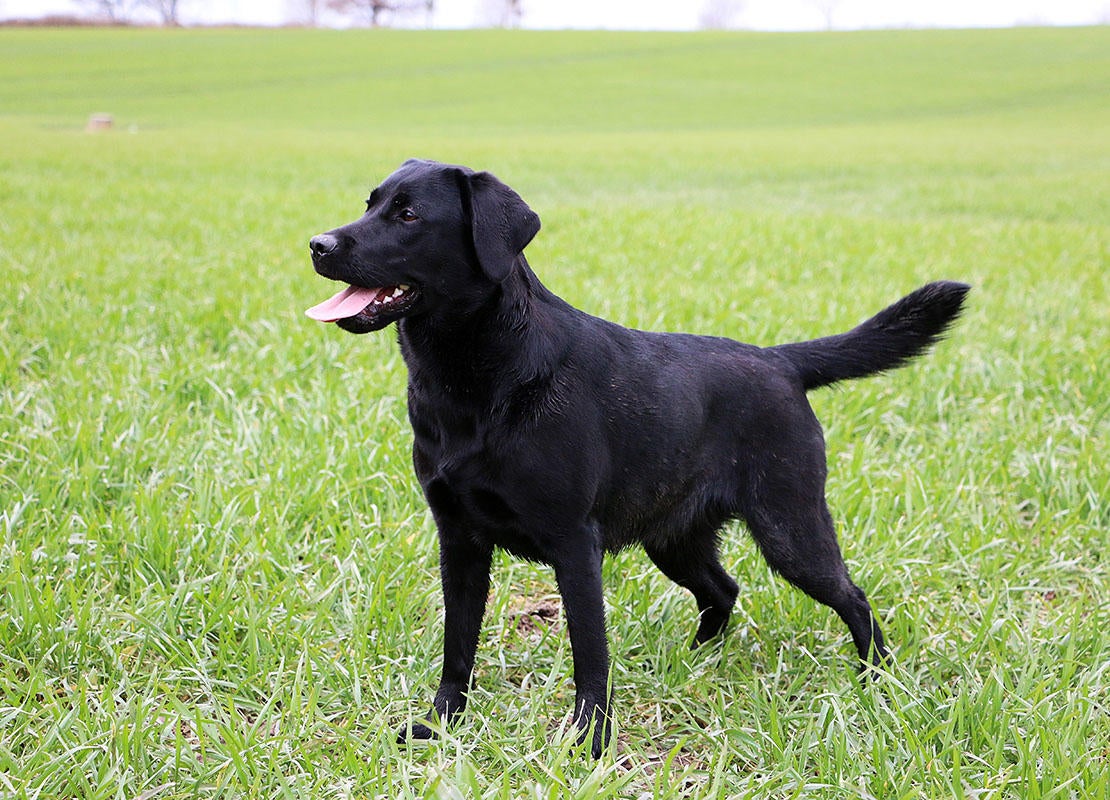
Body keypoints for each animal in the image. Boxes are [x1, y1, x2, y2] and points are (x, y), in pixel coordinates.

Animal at [306, 157, 972, 754]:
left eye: (408, 214)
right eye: (370, 204)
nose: (317, 243)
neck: (476, 376)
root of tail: (779, 361)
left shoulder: (574, 543)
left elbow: (589, 653)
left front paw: (590, 741)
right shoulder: (459, 538)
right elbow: (458, 643)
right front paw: (441, 724)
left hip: (792, 530)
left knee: (852, 597)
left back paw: (876, 680)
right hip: (673, 538)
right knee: (722, 589)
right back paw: (694, 662)